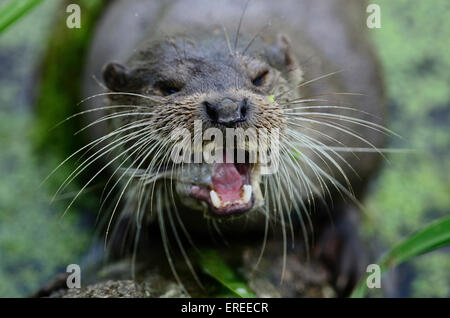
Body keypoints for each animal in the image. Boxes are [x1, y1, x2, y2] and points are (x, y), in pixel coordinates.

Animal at [65, 0, 384, 296]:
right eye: (169, 88)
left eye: (259, 77)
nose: (227, 108)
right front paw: (128, 236)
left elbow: (354, 191)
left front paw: (346, 247)